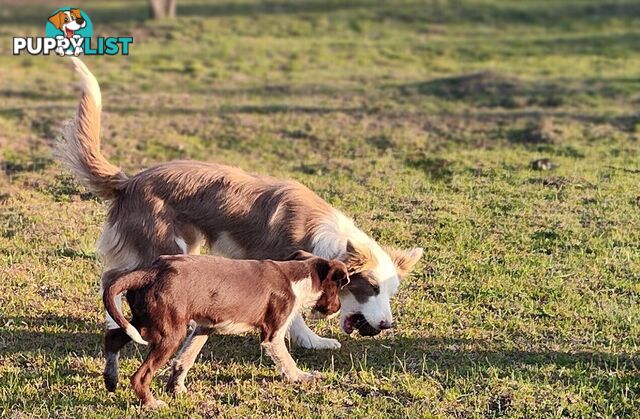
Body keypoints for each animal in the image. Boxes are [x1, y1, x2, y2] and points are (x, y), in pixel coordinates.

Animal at [56, 58, 424, 394]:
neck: (324, 238)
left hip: (181, 246)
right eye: (370, 288)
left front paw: (314, 342)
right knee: (113, 278)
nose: (386, 325)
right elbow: (292, 317)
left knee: (114, 276)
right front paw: (307, 342)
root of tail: (128, 182)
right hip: (162, 246)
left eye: (389, 292)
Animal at [104, 253, 350, 410]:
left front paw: (177, 387)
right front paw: (302, 377)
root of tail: (151, 271)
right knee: (140, 376)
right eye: (339, 287)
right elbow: (287, 362)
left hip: (144, 323)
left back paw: (111, 379)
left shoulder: (205, 327)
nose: (338, 309)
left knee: (113, 338)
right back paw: (150, 403)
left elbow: (186, 358)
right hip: (168, 333)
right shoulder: (273, 335)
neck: (298, 276)